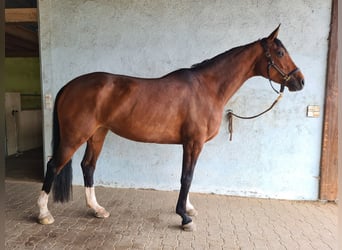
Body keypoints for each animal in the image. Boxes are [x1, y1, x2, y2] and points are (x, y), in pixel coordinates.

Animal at [37, 26, 304, 231]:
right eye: (280, 52)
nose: (300, 81)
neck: (207, 88)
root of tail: (70, 85)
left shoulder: (192, 144)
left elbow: (189, 177)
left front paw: (188, 208)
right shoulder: (193, 143)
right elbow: (187, 177)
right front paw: (184, 217)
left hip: (97, 134)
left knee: (88, 166)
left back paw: (97, 209)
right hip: (74, 136)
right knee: (53, 165)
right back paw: (43, 214)